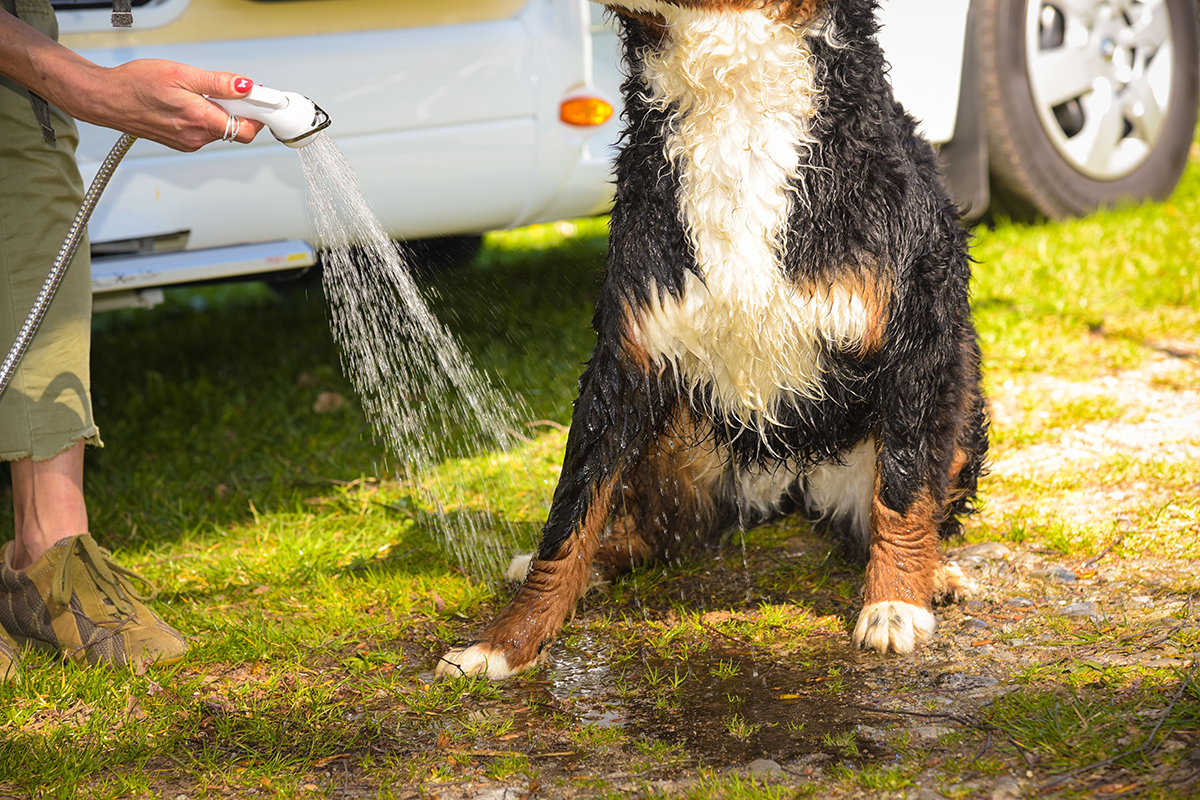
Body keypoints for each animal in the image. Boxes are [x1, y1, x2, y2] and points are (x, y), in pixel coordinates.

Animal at [439, 0, 984, 681]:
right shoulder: (626, 353)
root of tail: (789, 485)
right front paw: (506, 641)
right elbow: (571, 512)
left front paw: (895, 604)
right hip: (673, 445)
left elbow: (905, 493)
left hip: (961, 402)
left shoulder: (919, 338)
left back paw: (937, 574)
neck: (736, 110)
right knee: (653, 533)